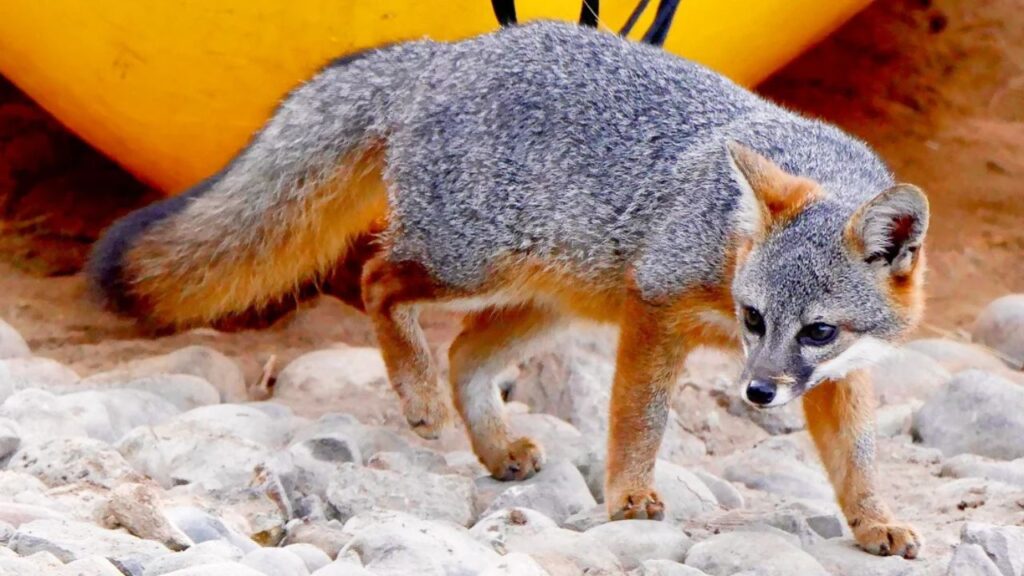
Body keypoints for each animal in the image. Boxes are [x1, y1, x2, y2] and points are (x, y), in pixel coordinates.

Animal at [88, 21, 928, 558]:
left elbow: (857, 459)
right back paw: (417, 394)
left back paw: (492, 447)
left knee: (465, 354)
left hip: (552, 301)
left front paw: (873, 523)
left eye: (818, 331)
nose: (756, 393)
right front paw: (629, 497)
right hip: (470, 264)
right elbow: (638, 418)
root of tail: (442, 57)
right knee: (377, 280)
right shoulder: (656, 303)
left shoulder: (837, 377)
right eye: (752, 318)